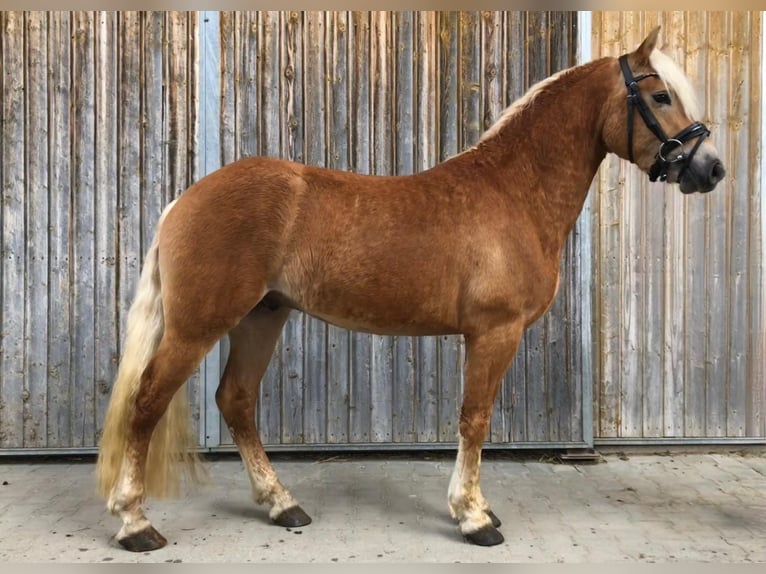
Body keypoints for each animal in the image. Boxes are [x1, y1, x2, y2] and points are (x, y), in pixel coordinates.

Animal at [95, 27, 725, 551]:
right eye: (661, 97)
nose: (711, 169)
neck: (513, 192)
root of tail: (184, 201)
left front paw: (478, 509)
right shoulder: (494, 333)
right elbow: (475, 418)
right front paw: (473, 517)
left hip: (263, 316)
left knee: (236, 400)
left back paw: (282, 504)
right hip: (198, 326)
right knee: (147, 403)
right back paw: (135, 523)